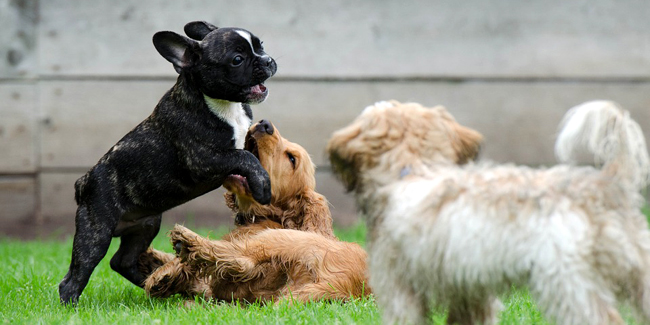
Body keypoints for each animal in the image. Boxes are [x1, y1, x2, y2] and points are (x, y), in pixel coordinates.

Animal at [326, 100, 648, 322]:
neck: (413, 170)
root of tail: (607, 183)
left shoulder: (399, 289)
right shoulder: (470, 295)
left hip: (567, 284)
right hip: (639, 275)